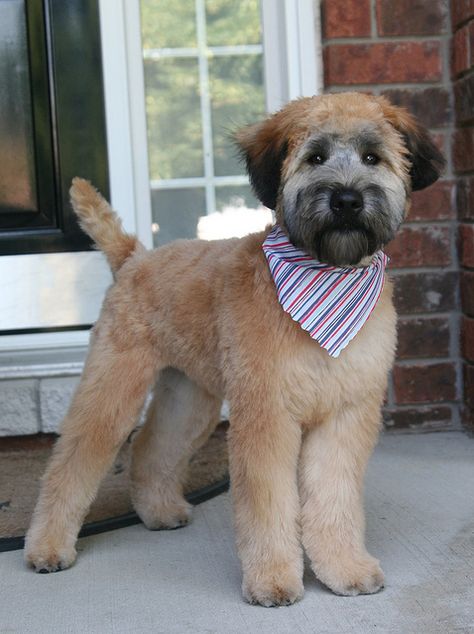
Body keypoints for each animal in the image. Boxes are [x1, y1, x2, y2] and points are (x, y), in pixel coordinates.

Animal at [23, 91, 444, 604]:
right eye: (315, 157)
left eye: (372, 158)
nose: (347, 199)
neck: (328, 273)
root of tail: (135, 257)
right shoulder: (266, 414)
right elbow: (268, 502)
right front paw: (272, 579)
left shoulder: (345, 416)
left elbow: (334, 497)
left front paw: (344, 569)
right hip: (113, 387)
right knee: (71, 461)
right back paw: (46, 547)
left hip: (189, 399)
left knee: (151, 446)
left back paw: (159, 511)